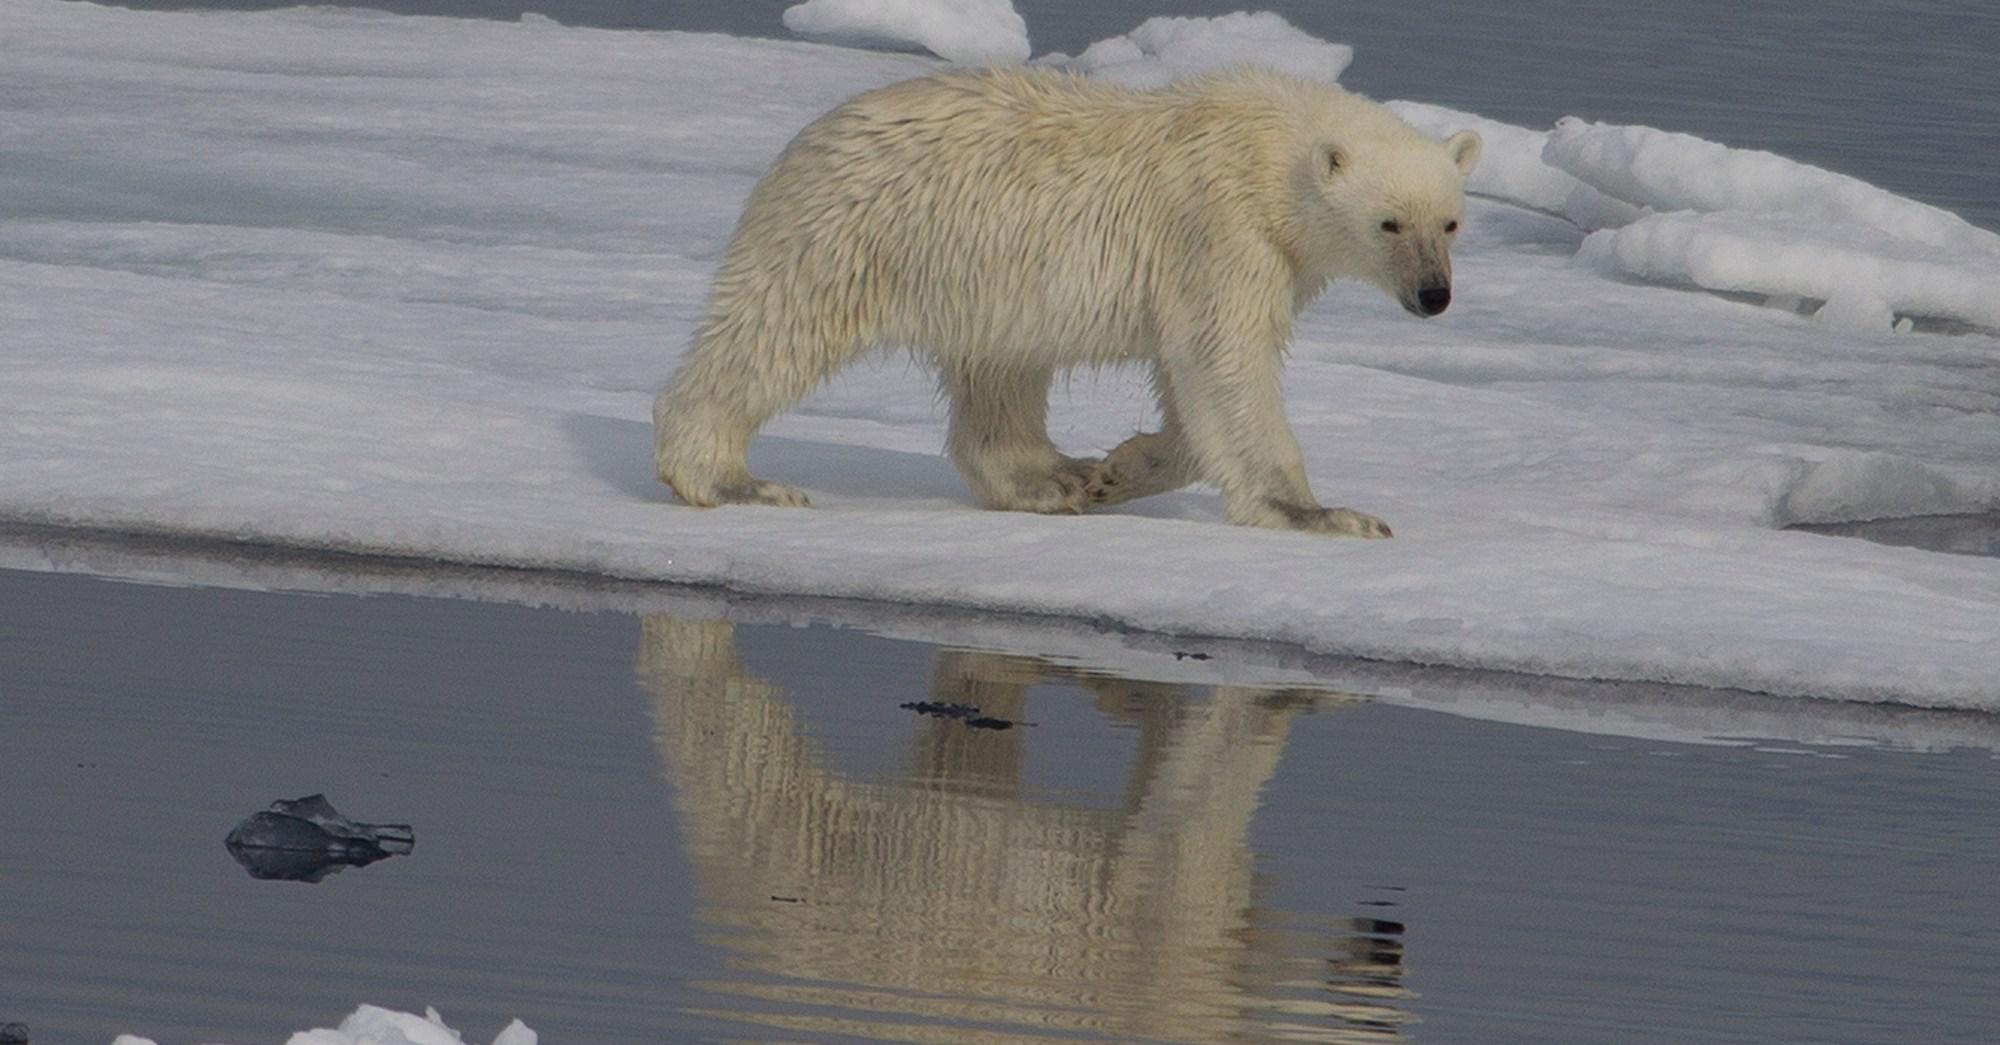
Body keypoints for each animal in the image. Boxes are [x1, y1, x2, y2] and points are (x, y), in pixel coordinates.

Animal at [653, 66, 1480, 537]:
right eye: (1389, 222)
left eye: (1450, 221)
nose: (1433, 295)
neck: (1270, 151)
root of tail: (811, 136)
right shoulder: (1221, 229)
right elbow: (1227, 362)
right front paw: (1326, 514)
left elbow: (1195, 381)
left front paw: (1116, 469)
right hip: (853, 231)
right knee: (774, 329)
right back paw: (731, 479)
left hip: (982, 275)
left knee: (1001, 373)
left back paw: (1051, 479)